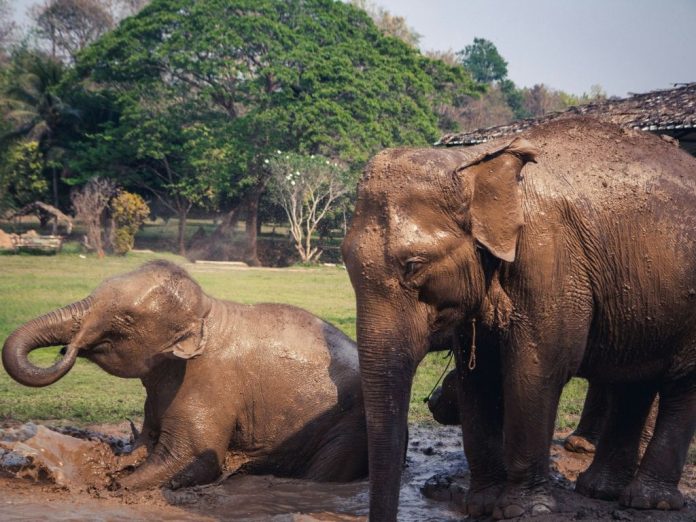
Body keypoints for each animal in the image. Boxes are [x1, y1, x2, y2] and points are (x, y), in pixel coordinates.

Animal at [2, 260, 368, 489]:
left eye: (126, 319)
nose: (68, 349)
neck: (207, 311)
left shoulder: (208, 385)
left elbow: (193, 458)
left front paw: (109, 484)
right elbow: (148, 444)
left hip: (348, 427)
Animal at [341, 117, 696, 520]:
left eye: (413, 265)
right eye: (345, 260)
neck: (473, 162)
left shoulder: (550, 258)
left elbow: (535, 370)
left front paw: (523, 509)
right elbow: (478, 377)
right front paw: (482, 504)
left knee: (680, 382)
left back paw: (649, 501)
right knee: (633, 381)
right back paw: (600, 491)